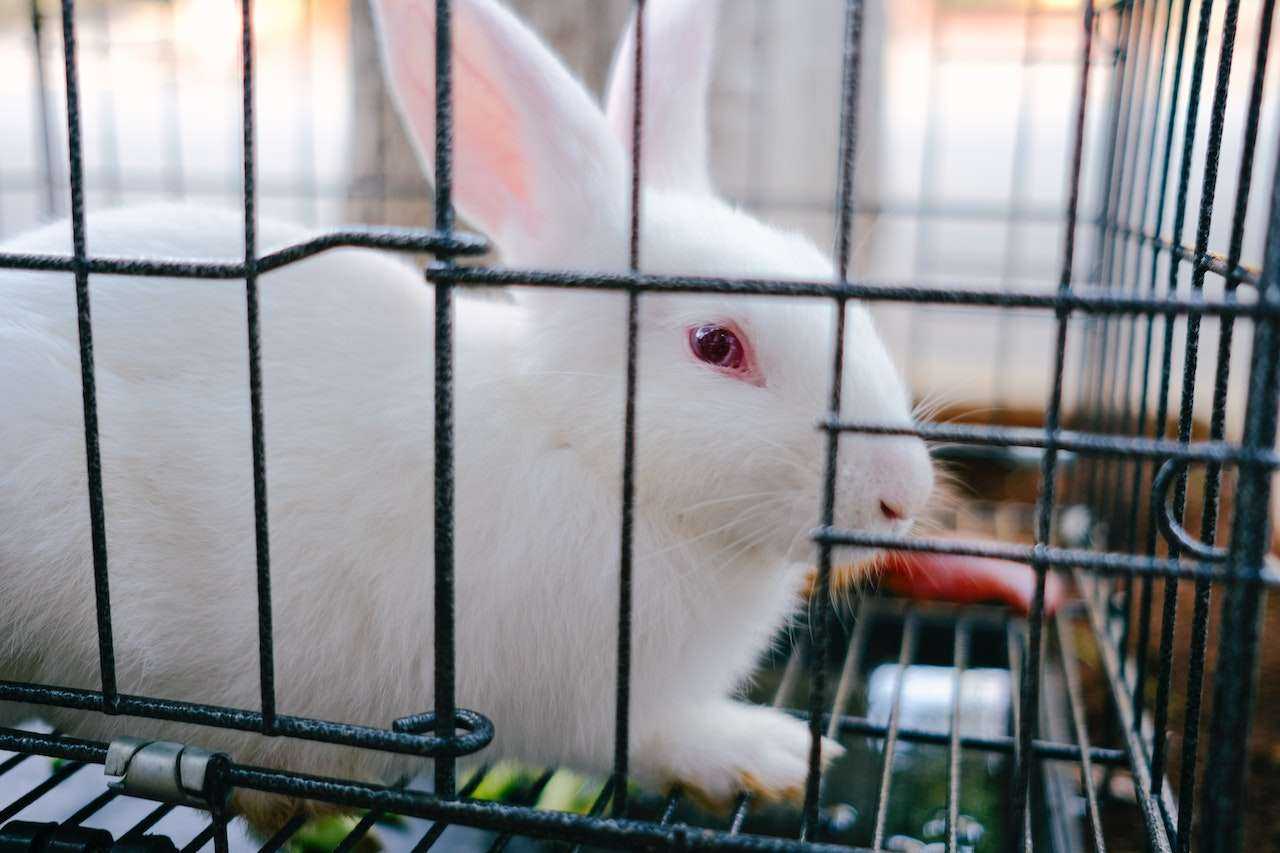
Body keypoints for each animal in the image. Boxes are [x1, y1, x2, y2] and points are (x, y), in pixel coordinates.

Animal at [0, 0, 926, 829]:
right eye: (716, 344)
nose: (902, 499)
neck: (579, 443)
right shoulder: (587, 699)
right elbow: (647, 739)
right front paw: (771, 753)